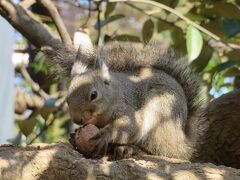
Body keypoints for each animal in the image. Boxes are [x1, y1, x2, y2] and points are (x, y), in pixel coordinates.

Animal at [41, 40, 206, 160]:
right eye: (67, 99)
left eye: (93, 95)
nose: (77, 120)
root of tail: (182, 144)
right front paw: (75, 135)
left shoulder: (126, 107)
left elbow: (129, 126)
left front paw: (105, 135)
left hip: (161, 113)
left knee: (158, 151)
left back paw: (131, 149)